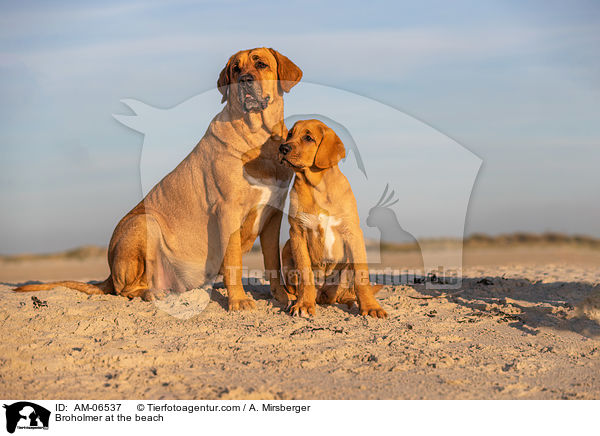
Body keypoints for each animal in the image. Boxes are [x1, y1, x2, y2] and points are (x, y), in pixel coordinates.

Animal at [14, 47, 302, 310]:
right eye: (235, 69)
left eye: (261, 64)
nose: (243, 80)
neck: (259, 137)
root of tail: (108, 273)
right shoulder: (227, 211)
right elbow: (233, 261)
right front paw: (239, 301)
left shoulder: (272, 215)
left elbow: (272, 261)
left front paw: (281, 296)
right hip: (145, 224)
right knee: (124, 288)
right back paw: (151, 293)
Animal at [278, 119, 386, 316]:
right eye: (290, 134)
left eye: (308, 137)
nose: (282, 148)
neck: (317, 187)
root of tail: (323, 294)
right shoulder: (297, 231)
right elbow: (305, 273)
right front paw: (304, 305)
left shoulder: (352, 232)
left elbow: (361, 276)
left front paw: (371, 307)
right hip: (287, 247)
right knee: (294, 287)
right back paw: (292, 299)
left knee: (344, 294)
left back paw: (349, 302)